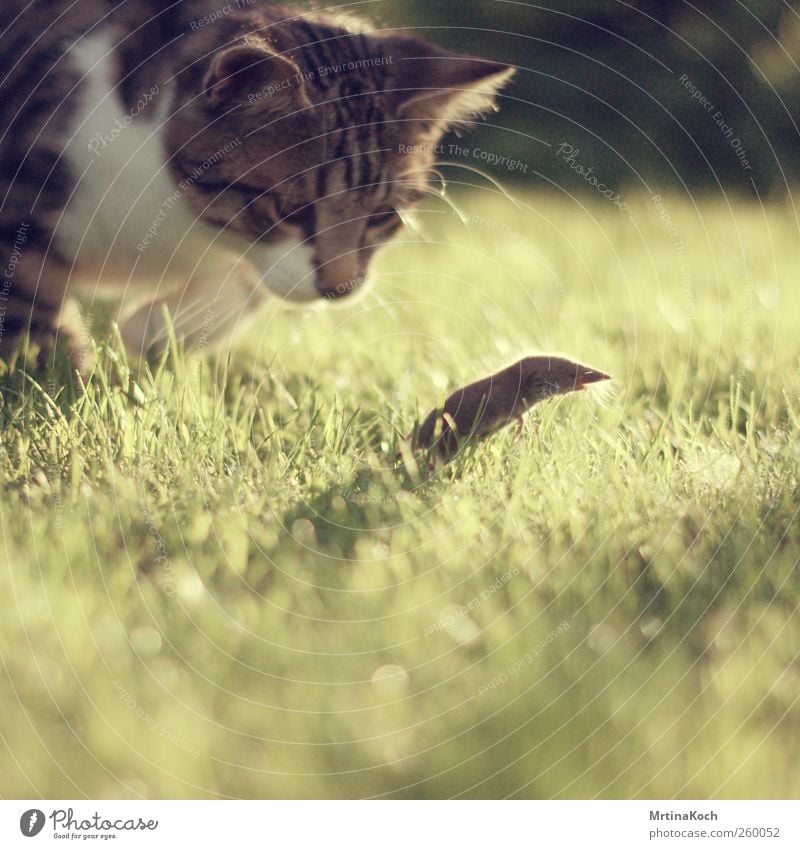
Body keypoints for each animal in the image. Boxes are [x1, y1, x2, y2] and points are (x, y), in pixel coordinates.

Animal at [0, 0, 512, 378]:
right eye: (293, 211)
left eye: (382, 217)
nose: (339, 289)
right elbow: (28, 298)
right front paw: (57, 375)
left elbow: (256, 282)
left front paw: (157, 328)